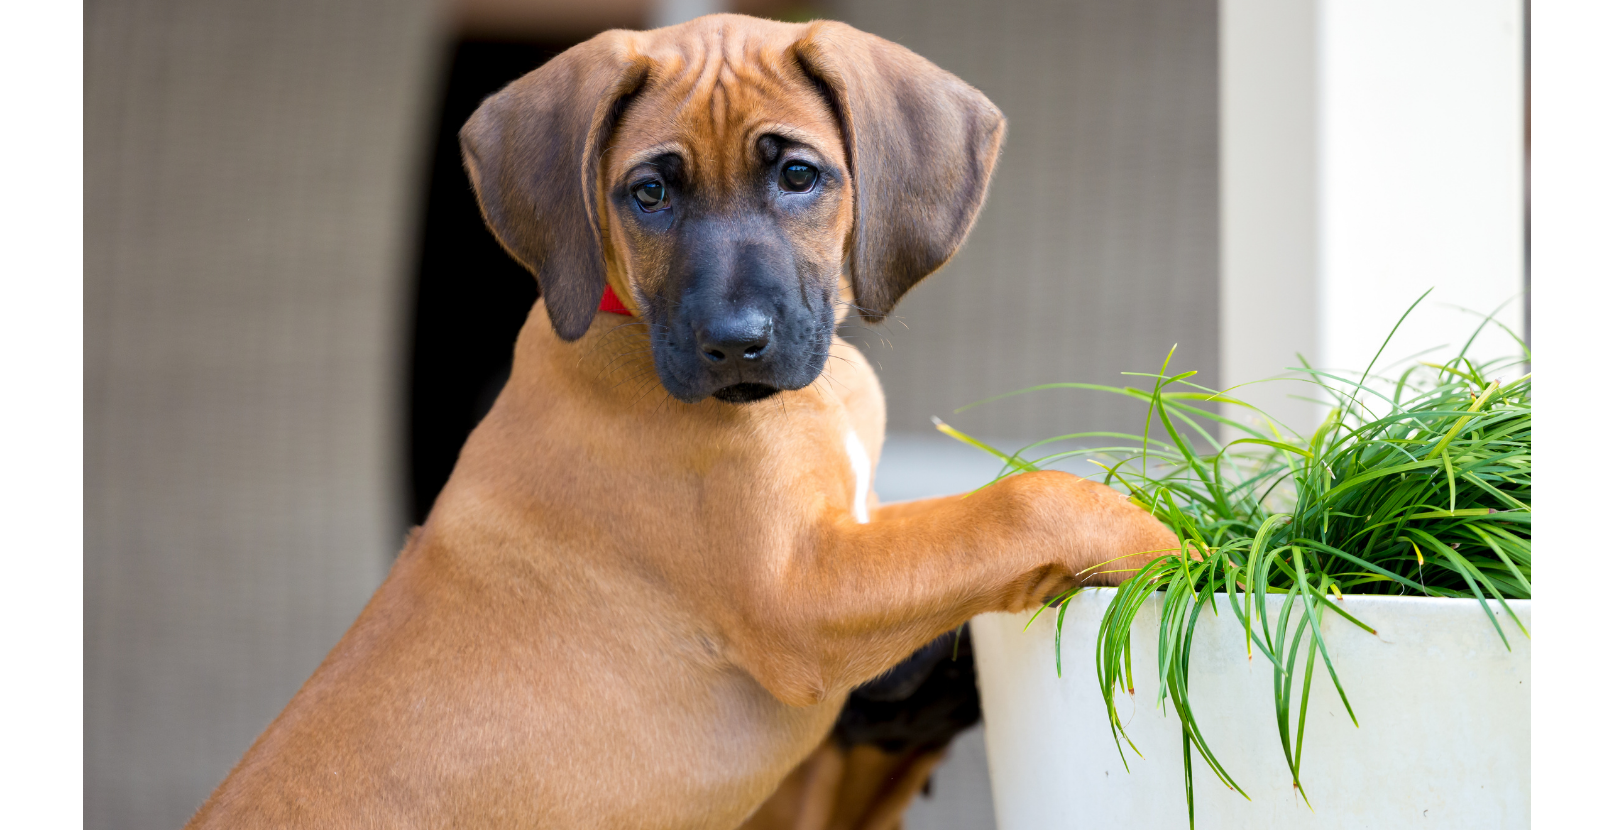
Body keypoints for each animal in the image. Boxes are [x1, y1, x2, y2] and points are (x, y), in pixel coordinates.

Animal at [187, 14, 1184, 830]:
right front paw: (1166, 541)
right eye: (650, 195)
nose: (735, 344)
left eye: (798, 176)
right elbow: (1010, 506)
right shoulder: (800, 588)